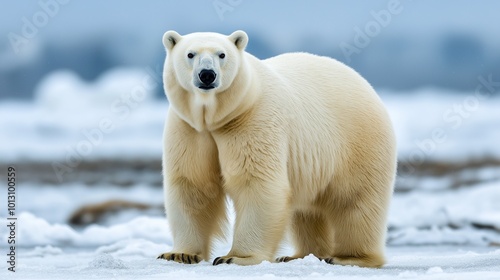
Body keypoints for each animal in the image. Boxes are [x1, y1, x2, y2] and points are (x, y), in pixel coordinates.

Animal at [158, 30, 396, 266]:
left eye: (222, 54)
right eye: (190, 54)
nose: (207, 74)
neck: (217, 118)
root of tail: (367, 86)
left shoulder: (252, 120)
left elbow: (255, 183)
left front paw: (236, 257)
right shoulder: (190, 130)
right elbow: (192, 185)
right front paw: (180, 254)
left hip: (358, 143)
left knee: (355, 201)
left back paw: (348, 257)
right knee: (307, 211)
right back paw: (298, 255)